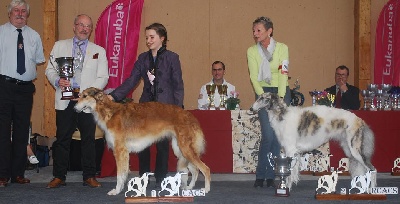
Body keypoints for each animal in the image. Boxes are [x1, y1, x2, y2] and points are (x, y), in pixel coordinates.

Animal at [76, 87, 212, 195]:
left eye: (85, 96)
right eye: (80, 95)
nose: (74, 107)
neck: (109, 112)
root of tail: (190, 116)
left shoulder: (120, 150)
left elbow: (120, 175)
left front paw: (116, 191)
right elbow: (123, 174)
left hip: (185, 149)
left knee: (205, 169)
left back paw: (206, 190)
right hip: (180, 150)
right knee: (195, 170)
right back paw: (189, 187)